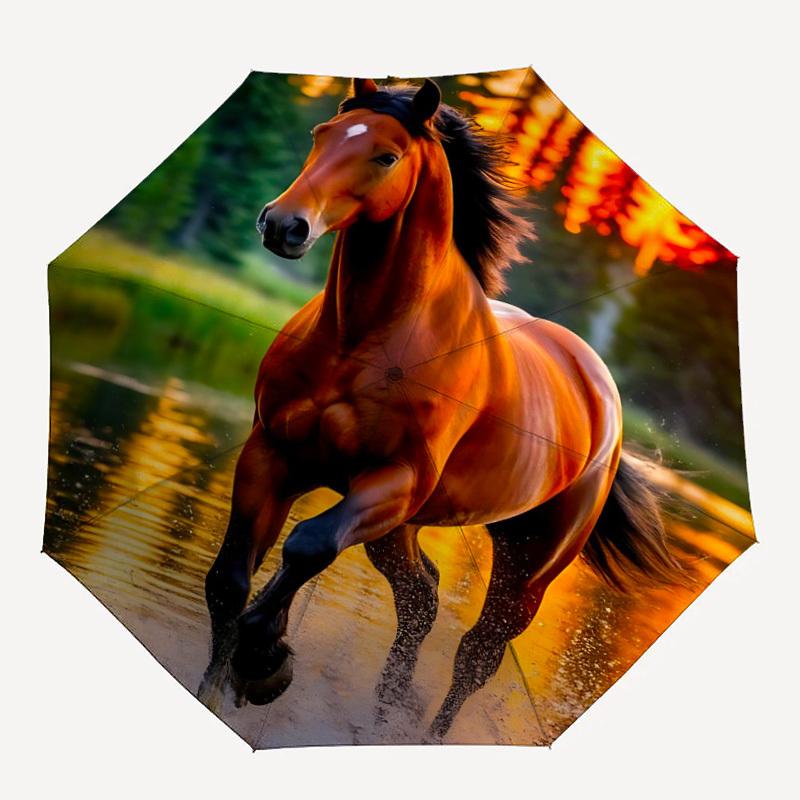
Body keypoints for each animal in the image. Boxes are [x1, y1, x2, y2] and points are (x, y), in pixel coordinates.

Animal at [198, 77, 684, 740]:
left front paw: (264, 664)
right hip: (398, 530)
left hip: (528, 565)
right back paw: (386, 709)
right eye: (321, 134)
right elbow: (229, 581)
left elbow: (307, 545)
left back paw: (423, 729)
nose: (283, 225)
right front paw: (226, 683)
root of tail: (598, 388)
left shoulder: (394, 480)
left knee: (476, 653)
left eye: (387, 156)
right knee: (421, 599)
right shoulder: (271, 456)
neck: (360, 341)